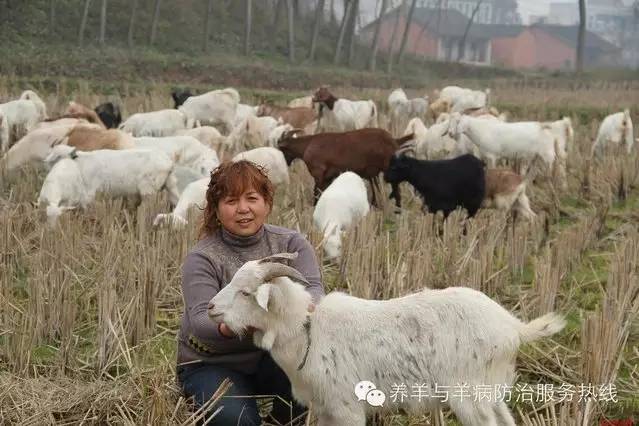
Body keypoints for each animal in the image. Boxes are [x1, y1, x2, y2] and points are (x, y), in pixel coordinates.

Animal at [209, 253, 564, 426]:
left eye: (245, 292)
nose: (210, 308)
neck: (306, 330)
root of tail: (513, 326)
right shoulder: (325, 409)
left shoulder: (346, 408)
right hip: (491, 389)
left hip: (470, 394)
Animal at [278, 126, 412, 206]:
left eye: (282, 149)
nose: (285, 162)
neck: (308, 145)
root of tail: (394, 140)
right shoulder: (328, 177)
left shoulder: (318, 173)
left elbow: (316, 193)